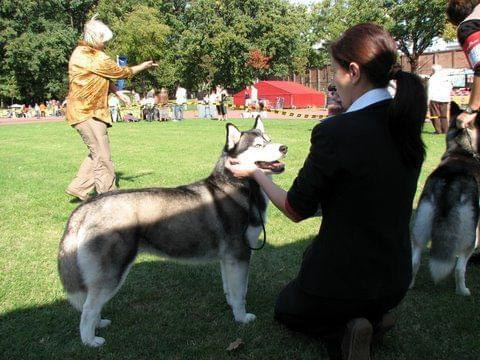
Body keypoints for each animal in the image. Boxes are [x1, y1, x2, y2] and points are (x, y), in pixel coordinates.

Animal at [58, 117, 286, 346]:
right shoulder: (240, 254)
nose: (284, 148)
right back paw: (90, 340)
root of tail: (88, 206)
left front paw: (231, 307)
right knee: (87, 308)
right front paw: (241, 317)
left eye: (270, 139)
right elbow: (241, 292)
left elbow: (230, 288)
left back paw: (99, 324)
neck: (239, 187)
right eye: (259, 145)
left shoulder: (228, 258)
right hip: (112, 272)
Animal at [408, 102, 480, 296]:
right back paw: (463, 291)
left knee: (414, 261)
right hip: (468, 234)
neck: (462, 150)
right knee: (459, 268)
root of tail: (448, 183)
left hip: (420, 225)